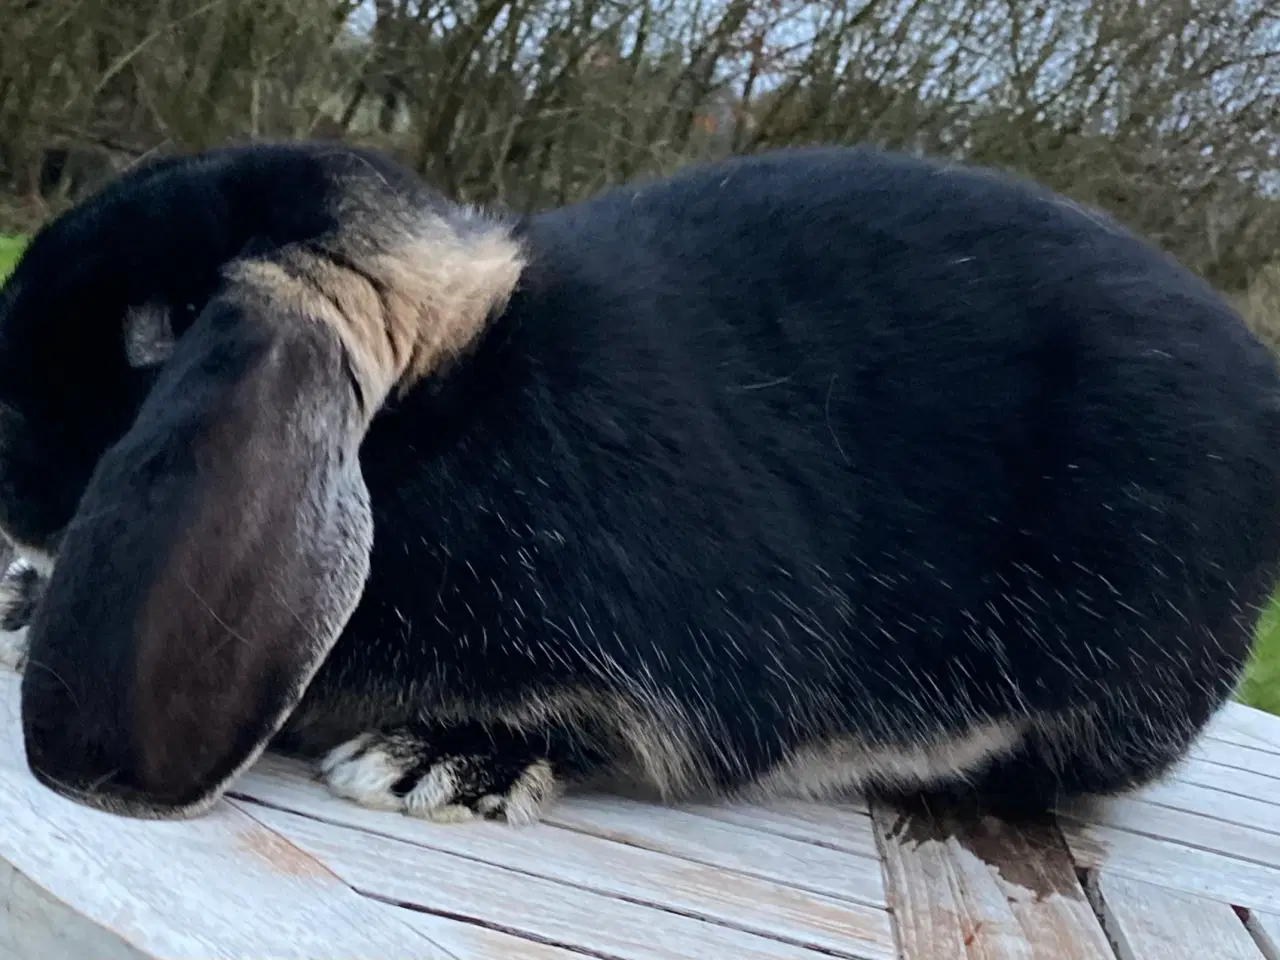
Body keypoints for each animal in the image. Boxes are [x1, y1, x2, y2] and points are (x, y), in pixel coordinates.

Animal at [2, 142, 1280, 829]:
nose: (4, 466)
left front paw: (434, 762)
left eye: (159, 327)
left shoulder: (683, 680)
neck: (461, 410)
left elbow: (585, 729)